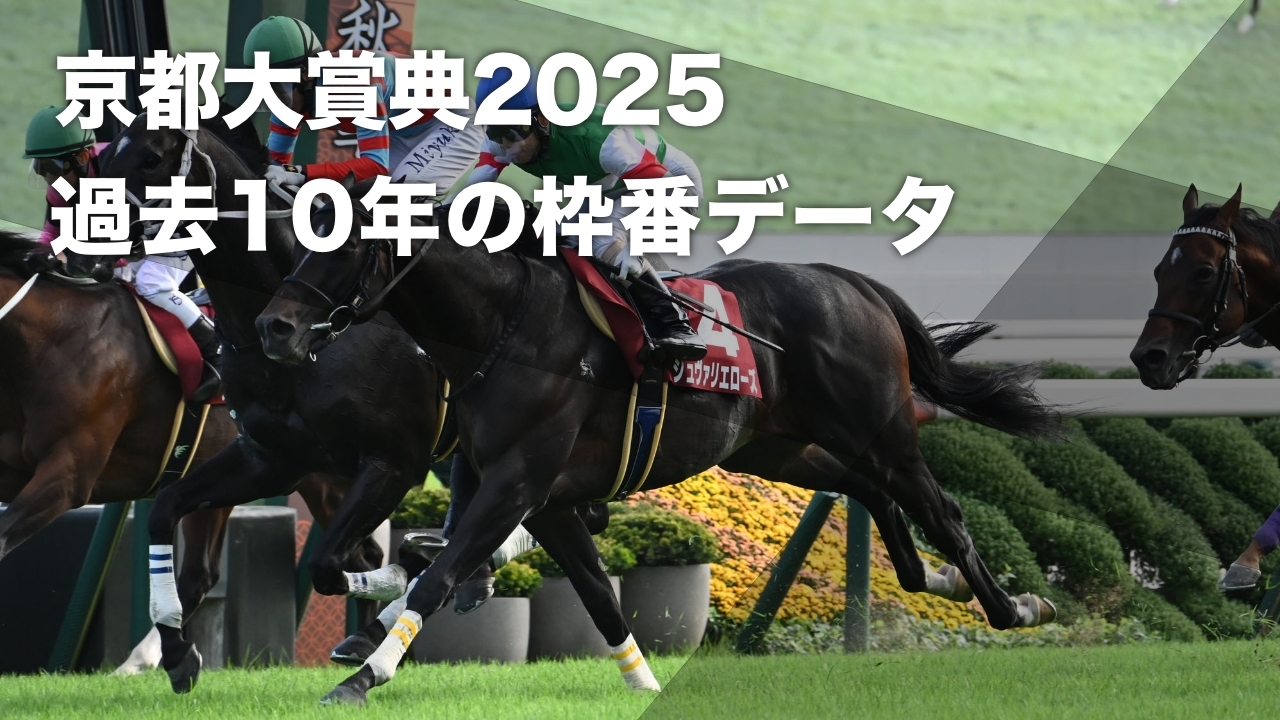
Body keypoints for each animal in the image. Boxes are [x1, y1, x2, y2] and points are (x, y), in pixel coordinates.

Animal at [86, 112, 454, 694]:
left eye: (151, 157)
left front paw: (408, 566)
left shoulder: (393, 463)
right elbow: (164, 511)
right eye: (105, 157)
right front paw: (177, 653)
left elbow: (332, 564)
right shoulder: (272, 458)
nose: (89, 243)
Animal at [256, 182, 1062, 706]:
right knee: (869, 492)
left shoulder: (517, 483)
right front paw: (642, 681)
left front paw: (363, 676)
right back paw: (936, 579)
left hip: (882, 431)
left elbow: (440, 576)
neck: (505, 329)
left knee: (944, 512)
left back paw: (1013, 607)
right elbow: (591, 593)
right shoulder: (540, 498)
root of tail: (852, 281)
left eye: (347, 242)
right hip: (774, 446)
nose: (275, 327)